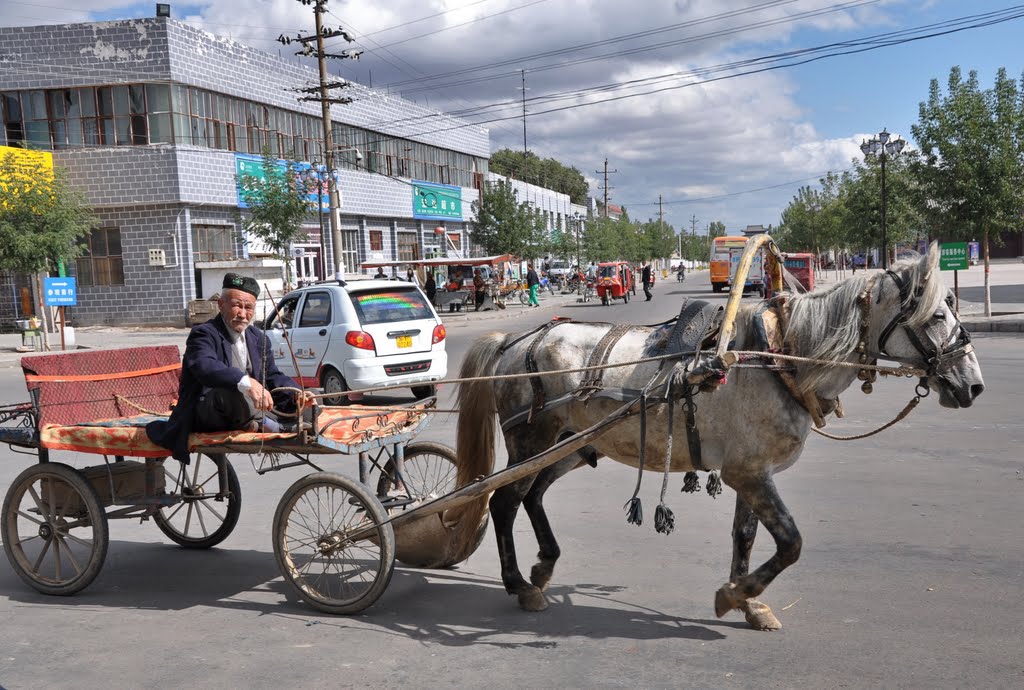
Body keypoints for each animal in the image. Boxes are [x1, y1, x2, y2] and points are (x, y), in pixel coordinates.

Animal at [450, 244, 983, 626]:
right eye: (937, 315)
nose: (973, 385)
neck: (778, 358)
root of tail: (516, 341)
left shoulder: (751, 469)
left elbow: (745, 536)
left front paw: (749, 602)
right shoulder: (748, 473)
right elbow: (790, 541)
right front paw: (733, 595)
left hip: (573, 444)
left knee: (533, 495)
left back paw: (543, 567)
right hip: (531, 441)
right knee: (504, 502)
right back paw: (520, 584)